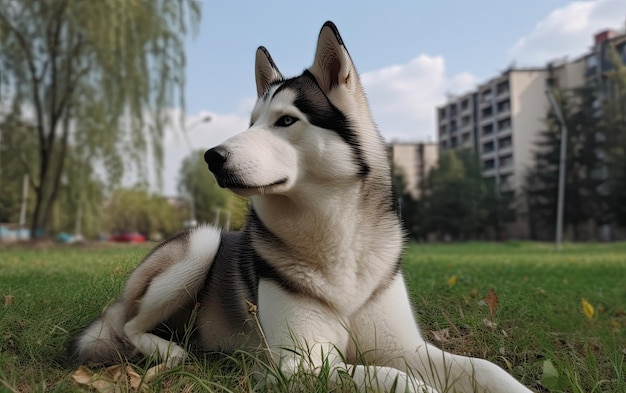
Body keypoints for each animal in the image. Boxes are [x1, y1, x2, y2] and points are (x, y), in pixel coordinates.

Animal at [73, 22, 532, 392]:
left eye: (286, 121)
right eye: (252, 122)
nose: (212, 157)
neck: (334, 233)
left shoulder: (405, 347)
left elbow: (486, 368)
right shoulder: (303, 362)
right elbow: (393, 378)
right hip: (200, 245)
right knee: (130, 326)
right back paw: (171, 352)